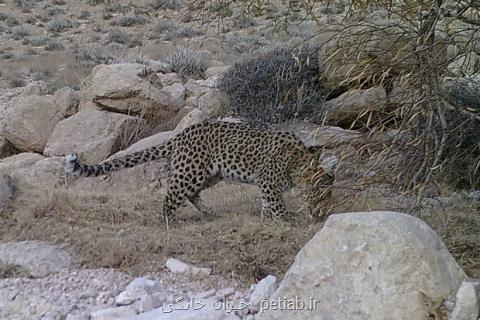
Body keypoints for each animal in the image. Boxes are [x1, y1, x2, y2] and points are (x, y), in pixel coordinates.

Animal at [65, 120, 338, 222]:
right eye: (320, 194)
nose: (324, 213)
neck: (297, 163)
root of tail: (181, 134)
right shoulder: (269, 182)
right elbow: (277, 204)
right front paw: (287, 220)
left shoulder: (265, 186)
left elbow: (267, 204)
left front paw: (267, 219)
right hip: (191, 172)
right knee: (171, 196)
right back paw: (170, 222)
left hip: (210, 174)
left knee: (191, 194)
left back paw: (210, 212)